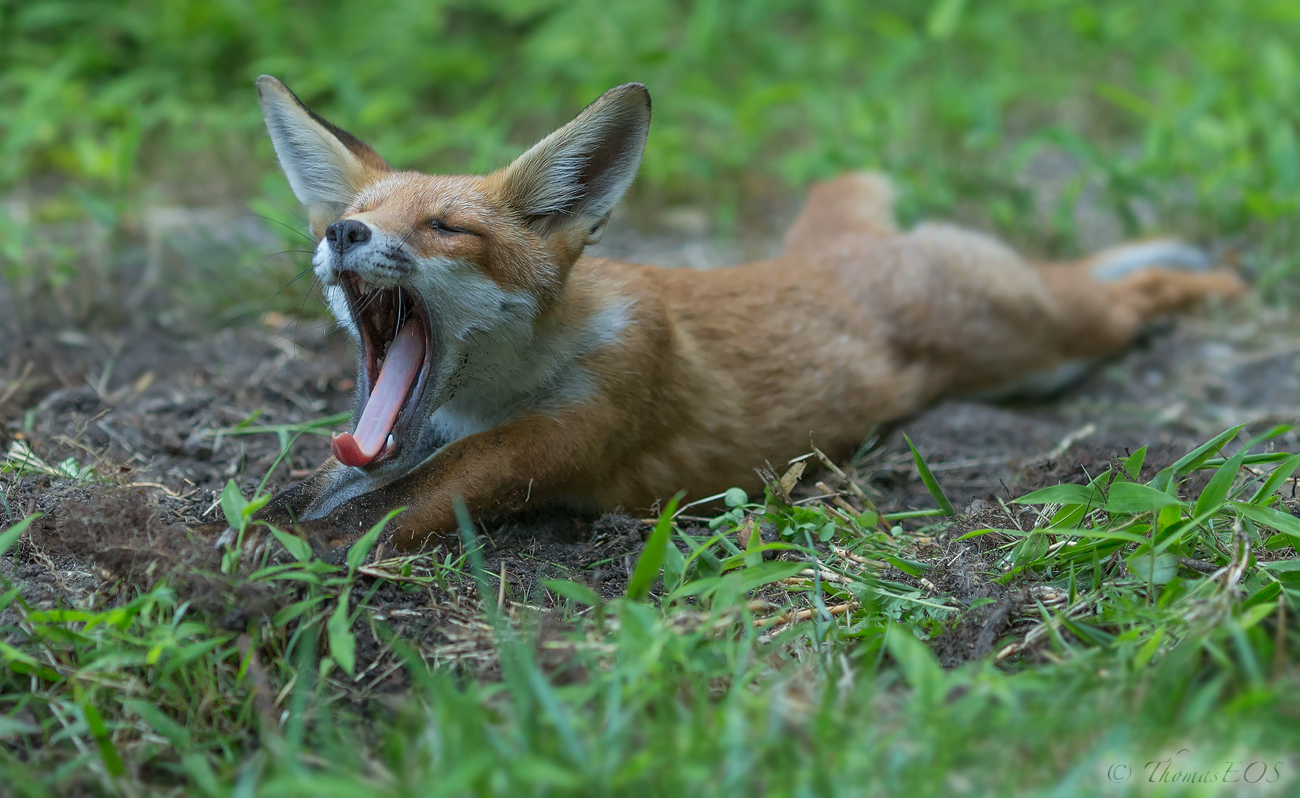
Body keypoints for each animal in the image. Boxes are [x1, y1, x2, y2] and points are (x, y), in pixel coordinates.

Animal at [248, 75, 1242, 553]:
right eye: (364, 214)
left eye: (446, 228)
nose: (343, 233)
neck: (499, 391)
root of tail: (829, 256)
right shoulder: (413, 433)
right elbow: (320, 482)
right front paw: (259, 525)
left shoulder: (573, 426)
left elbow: (428, 493)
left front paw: (304, 552)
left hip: (1049, 343)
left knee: (1118, 297)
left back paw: (1209, 283)